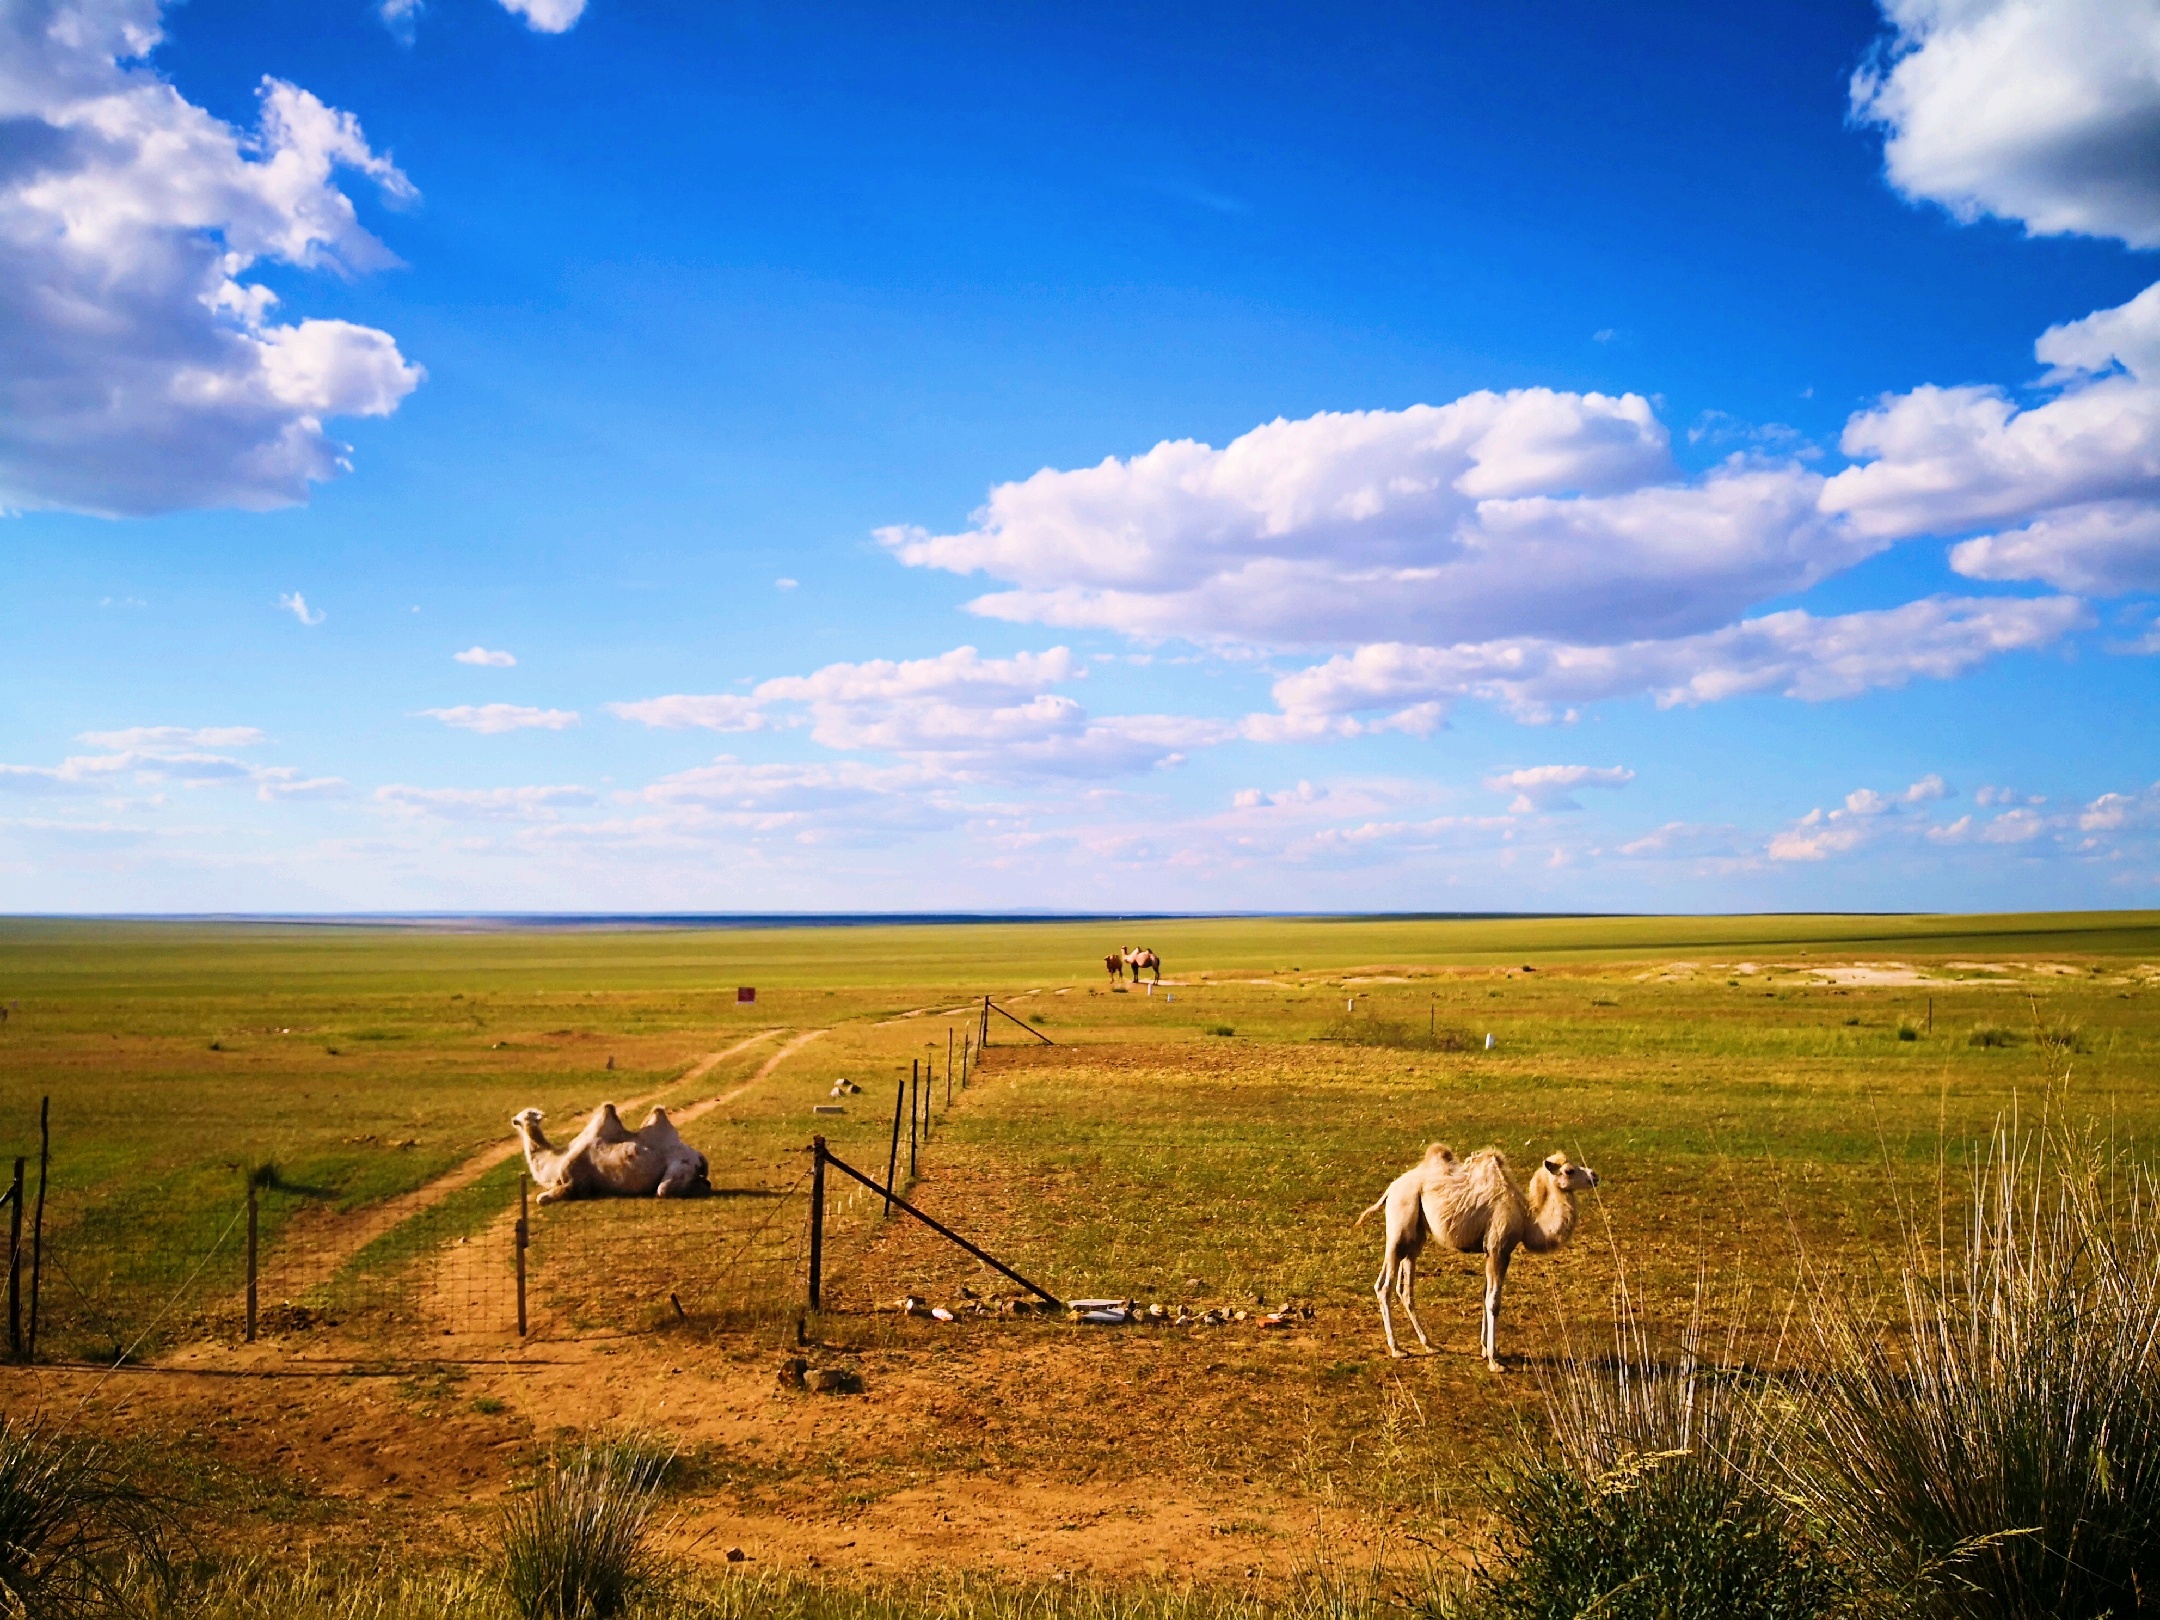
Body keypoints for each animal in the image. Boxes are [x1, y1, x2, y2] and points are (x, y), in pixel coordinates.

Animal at [505, 1105, 708, 1209]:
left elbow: (542, 1198)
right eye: (522, 1117)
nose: (514, 1120)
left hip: (680, 1166)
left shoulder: (575, 1182)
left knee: (663, 1189)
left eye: (529, 1115)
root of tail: (698, 1155)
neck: (556, 1161)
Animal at [1356, 1140, 1598, 1373]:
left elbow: (1484, 1294)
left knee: (1404, 1288)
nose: (1595, 1175)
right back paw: (1397, 1348)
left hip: (1416, 1236)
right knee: (1384, 1286)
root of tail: (1391, 1189)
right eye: (1569, 1171)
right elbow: (1493, 1301)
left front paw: (1486, 1349)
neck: (1528, 1221)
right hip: (1399, 1227)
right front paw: (1494, 1361)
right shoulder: (1498, 1249)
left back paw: (1429, 1344)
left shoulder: (1495, 1252)